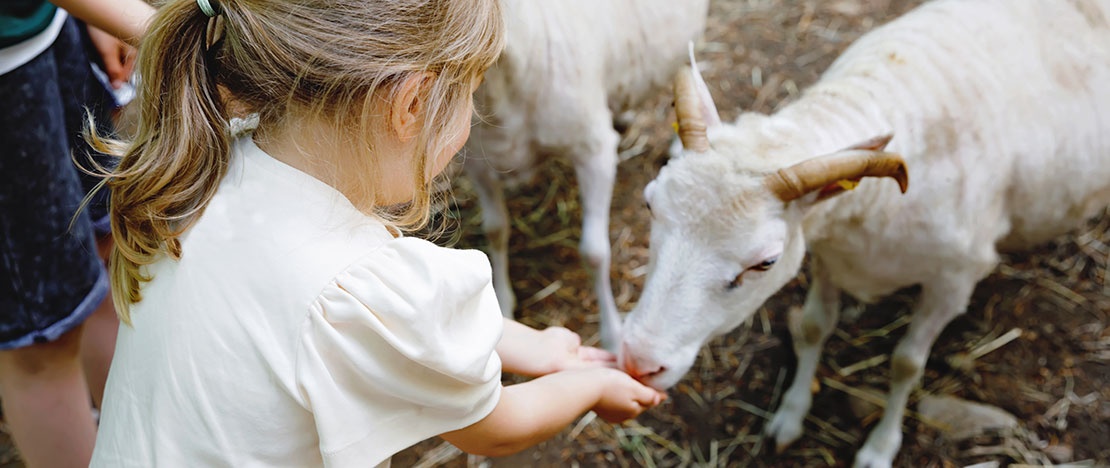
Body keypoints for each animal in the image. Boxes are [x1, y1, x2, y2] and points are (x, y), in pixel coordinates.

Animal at [466, 0, 710, 346]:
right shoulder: (477, 165)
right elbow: (494, 231)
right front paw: (502, 305)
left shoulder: (594, 151)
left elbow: (594, 252)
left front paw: (612, 334)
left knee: (689, 70)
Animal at [617, 1, 1110, 465]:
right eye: (649, 203)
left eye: (766, 262)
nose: (638, 362)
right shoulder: (830, 255)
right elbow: (814, 327)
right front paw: (790, 416)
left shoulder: (954, 280)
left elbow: (906, 364)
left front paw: (879, 448)